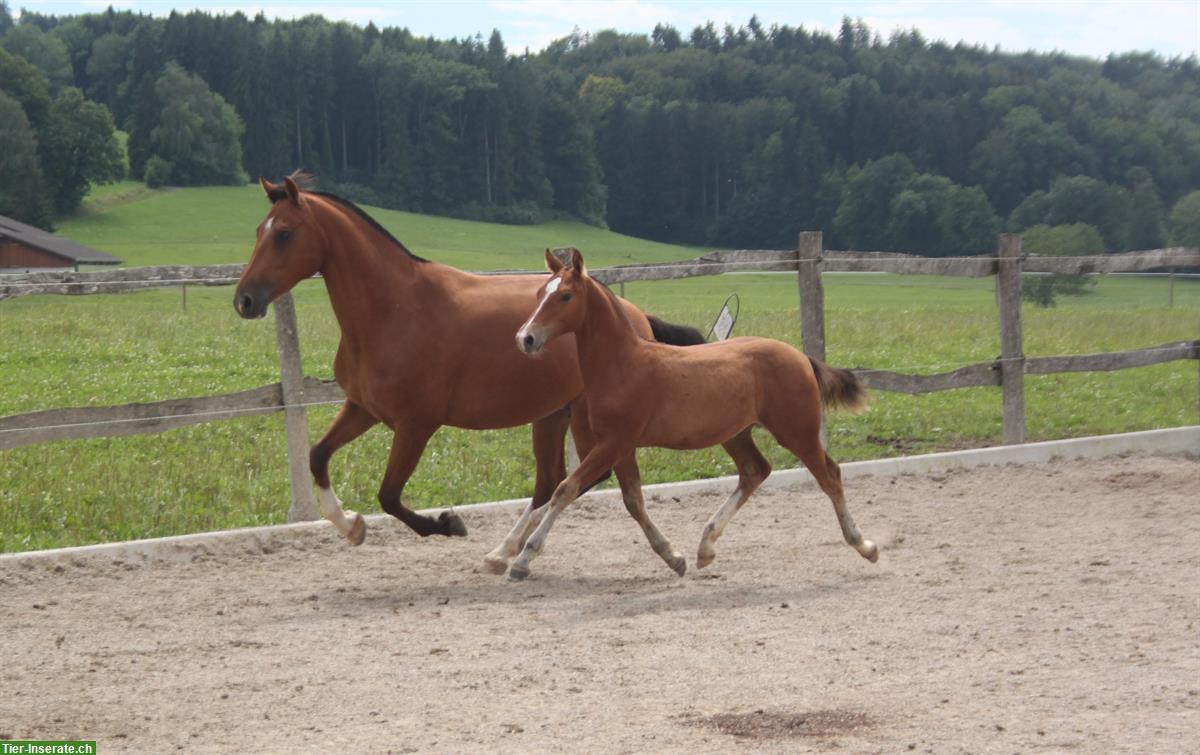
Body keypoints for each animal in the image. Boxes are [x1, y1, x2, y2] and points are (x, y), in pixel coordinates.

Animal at [232, 175, 700, 542]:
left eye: (284, 233)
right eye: (257, 230)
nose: (244, 300)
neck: (392, 310)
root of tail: (634, 316)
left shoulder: (416, 425)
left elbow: (389, 495)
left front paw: (447, 523)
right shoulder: (362, 408)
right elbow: (317, 456)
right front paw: (351, 525)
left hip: (587, 417)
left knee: (581, 477)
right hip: (552, 415)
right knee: (553, 482)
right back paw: (508, 551)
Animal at [496, 250, 883, 580]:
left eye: (564, 296)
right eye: (538, 293)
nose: (525, 338)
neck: (623, 365)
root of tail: (802, 357)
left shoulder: (614, 442)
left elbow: (565, 489)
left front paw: (523, 559)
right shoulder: (621, 446)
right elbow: (633, 500)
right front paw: (674, 557)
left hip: (797, 431)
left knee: (830, 475)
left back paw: (865, 545)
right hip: (737, 433)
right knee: (755, 471)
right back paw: (705, 547)